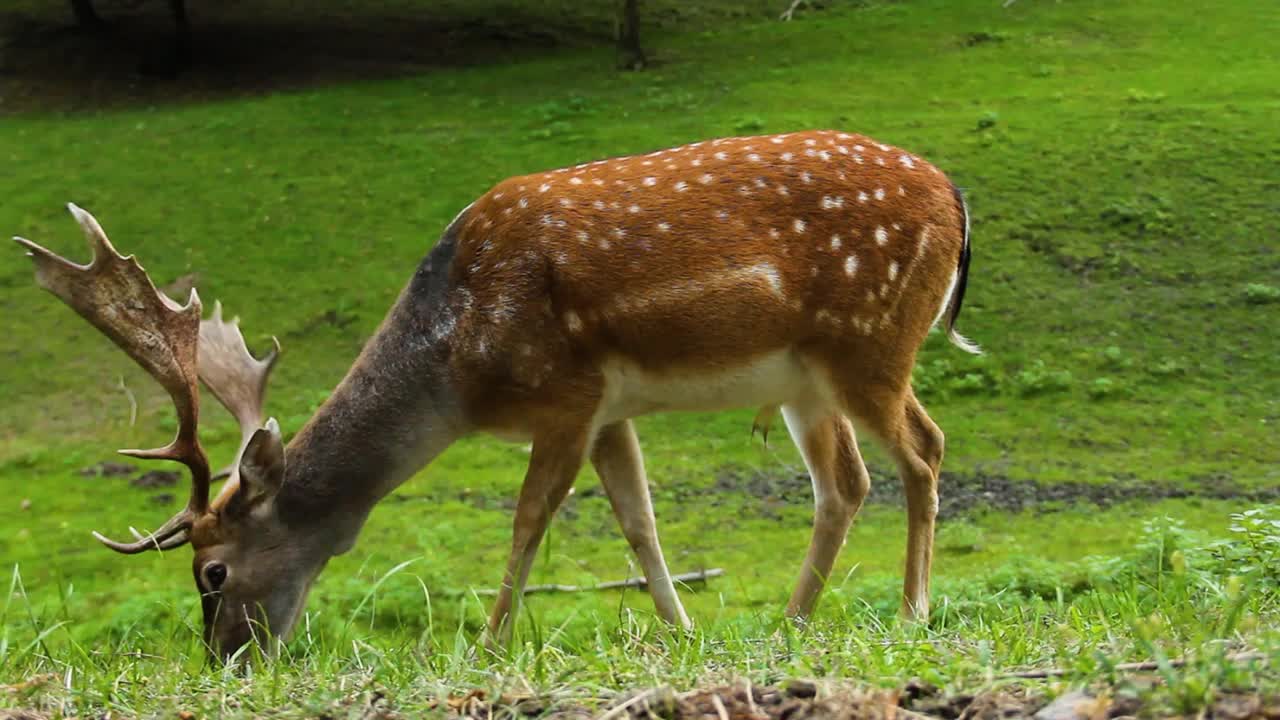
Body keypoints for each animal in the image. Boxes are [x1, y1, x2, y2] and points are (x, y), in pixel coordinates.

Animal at [15, 130, 977, 661]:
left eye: (211, 571)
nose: (223, 660)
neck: (456, 361)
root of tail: (957, 196)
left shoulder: (565, 392)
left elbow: (527, 521)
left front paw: (487, 642)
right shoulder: (608, 411)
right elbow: (638, 522)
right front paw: (682, 633)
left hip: (869, 342)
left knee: (925, 449)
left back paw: (911, 612)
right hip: (805, 378)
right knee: (844, 483)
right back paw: (791, 622)